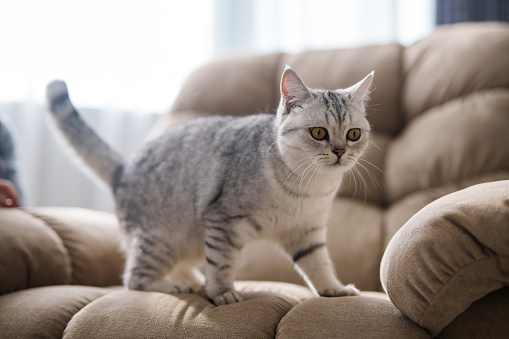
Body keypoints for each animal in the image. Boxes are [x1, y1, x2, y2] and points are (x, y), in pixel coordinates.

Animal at [45, 65, 374, 306]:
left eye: (354, 134)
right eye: (318, 133)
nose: (340, 151)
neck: (309, 187)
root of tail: (123, 168)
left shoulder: (307, 231)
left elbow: (318, 264)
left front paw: (333, 288)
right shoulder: (223, 221)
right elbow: (222, 263)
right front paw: (223, 294)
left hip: (183, 241)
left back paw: (191, 281)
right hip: (160, 239)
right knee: (134, 280)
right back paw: (175, 285)